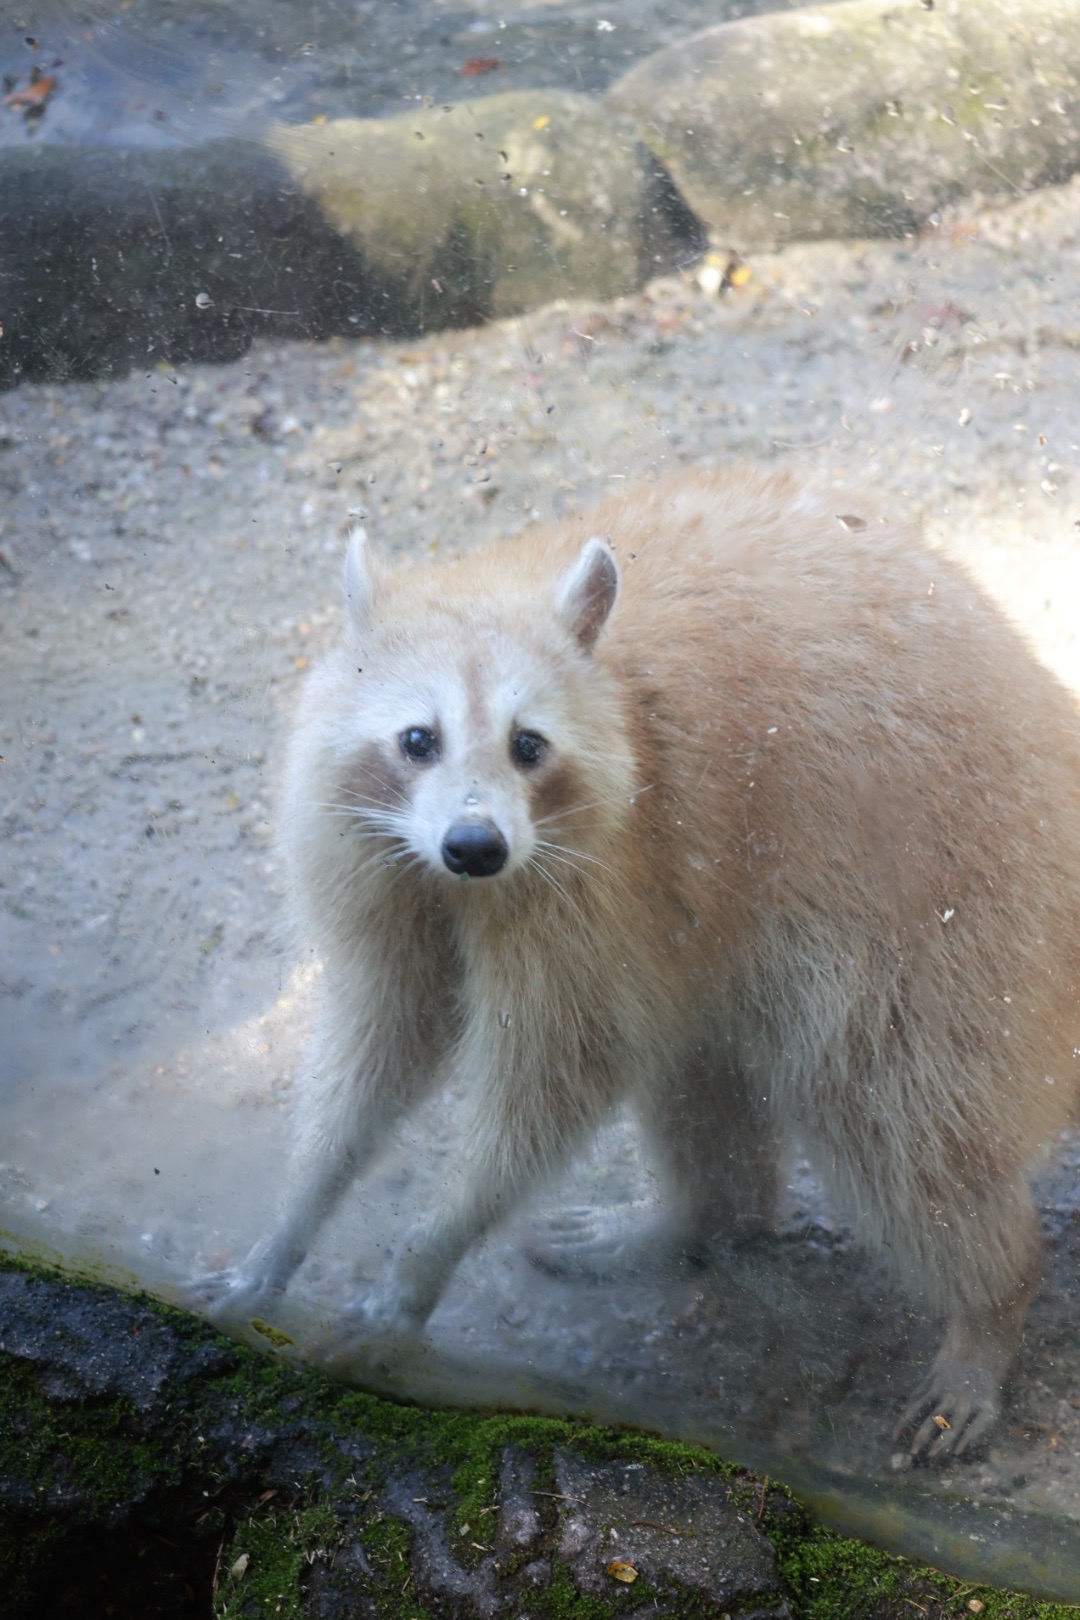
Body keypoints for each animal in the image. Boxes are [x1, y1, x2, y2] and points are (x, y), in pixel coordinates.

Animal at [215, 466, 1080, 1458]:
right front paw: (291, 1216)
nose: (476, 846)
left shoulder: (611, 866)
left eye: (527, 744)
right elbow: (381, 1040)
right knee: (700, 1066)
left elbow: (551, 1079)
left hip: (949, 921)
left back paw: (991, 1304)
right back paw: (697, 1216)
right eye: (417, 740)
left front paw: (424, 1257)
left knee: (898, 1120)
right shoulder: (379, 869)